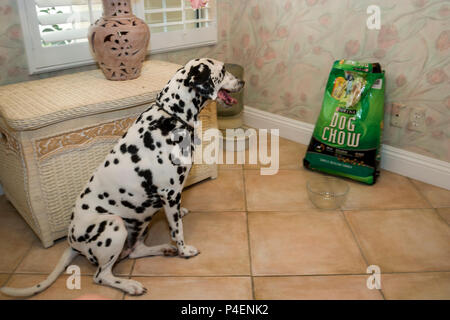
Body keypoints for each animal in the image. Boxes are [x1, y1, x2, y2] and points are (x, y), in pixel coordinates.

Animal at [0, 58, 246, 298]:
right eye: (223, 70)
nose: (242, 81)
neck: (170, 118)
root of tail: (72, 242)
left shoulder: (171, 196)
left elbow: (175, 217)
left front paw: (181, 219)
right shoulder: (169, 193)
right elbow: (178, 230)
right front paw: (184, 250)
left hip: (139, 222)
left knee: (135, 251)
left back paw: (163, 249)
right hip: (114, 225)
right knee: (101, 275)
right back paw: (130, 285)